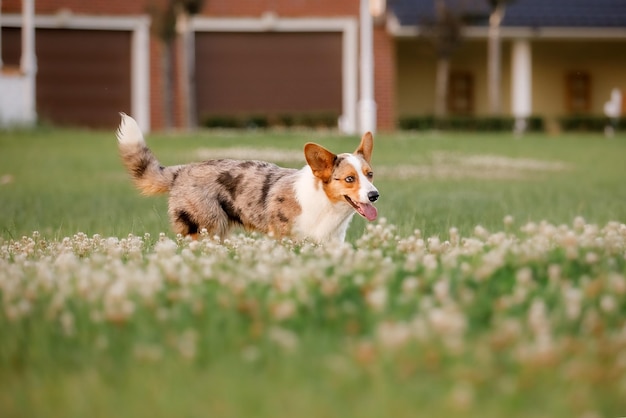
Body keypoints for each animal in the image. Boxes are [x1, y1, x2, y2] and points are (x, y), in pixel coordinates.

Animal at [116, 112, 380, 243]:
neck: (325, 204)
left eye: (370, 174)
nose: (374, 195)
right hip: (206, 227)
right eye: (349, 179)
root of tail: (181, 170)